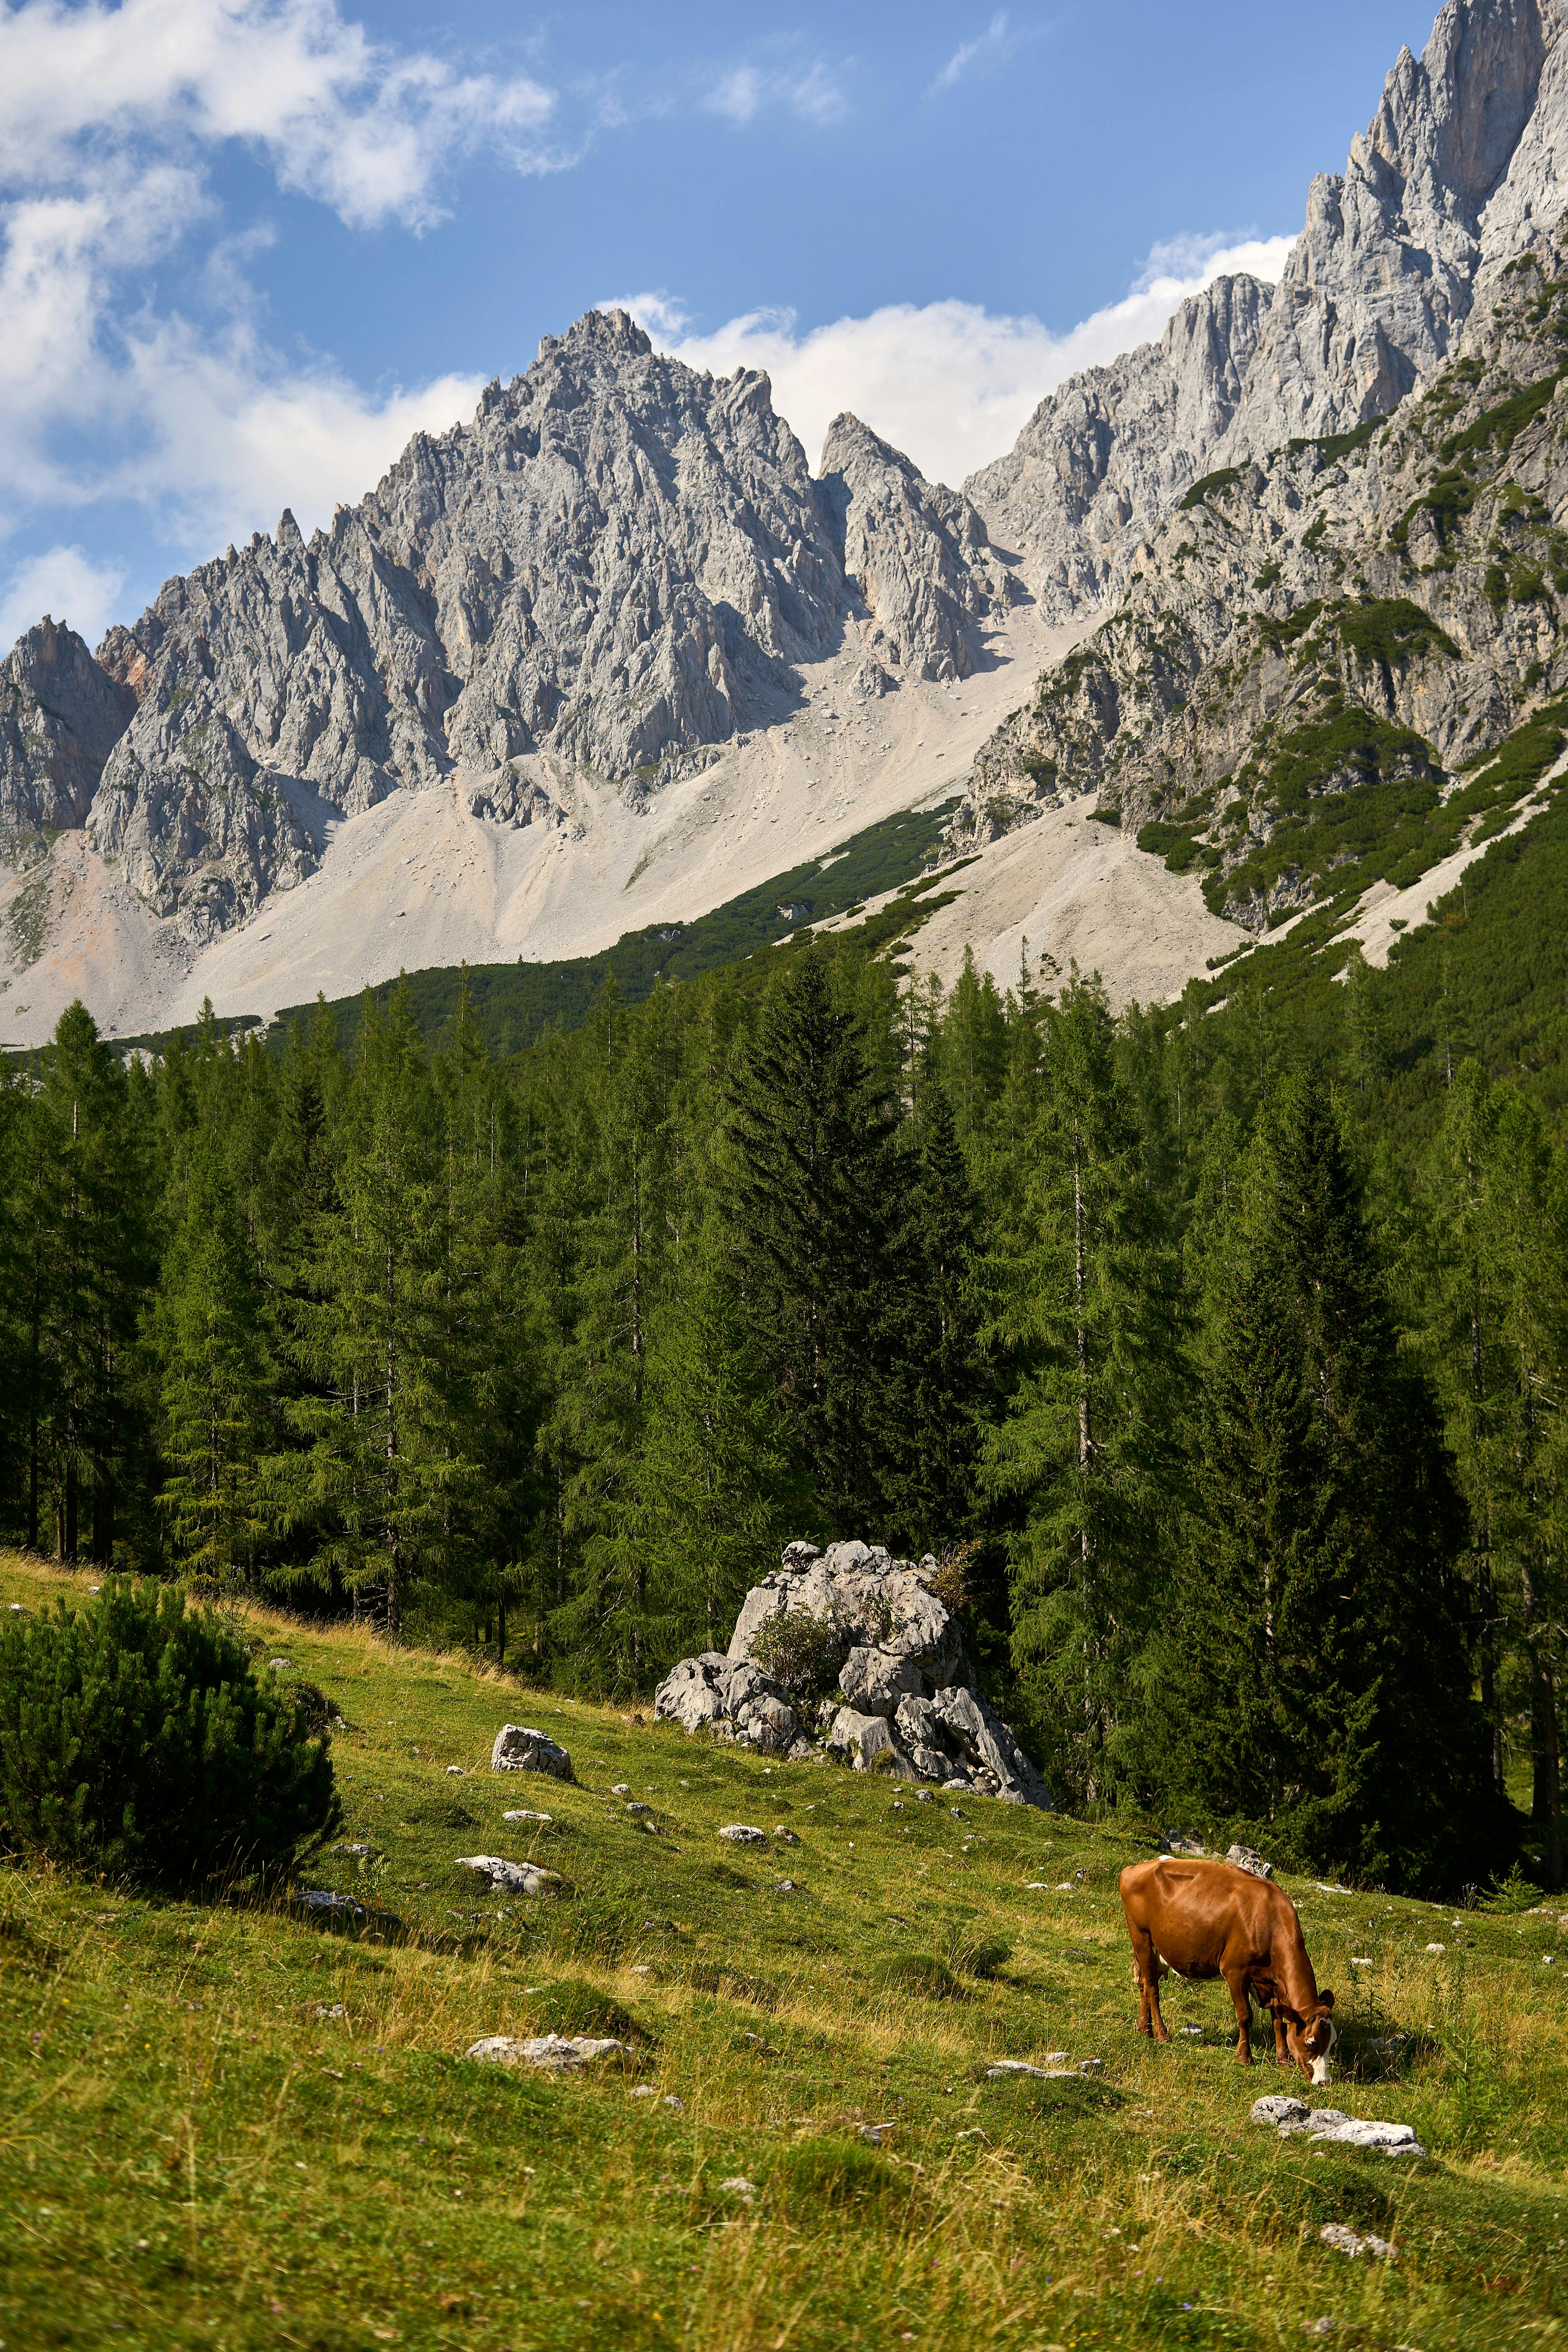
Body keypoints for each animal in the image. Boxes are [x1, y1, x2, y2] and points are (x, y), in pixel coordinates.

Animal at [1119, 1854, 1337, 2082]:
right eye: (1311, 2042)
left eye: (1332, 2043)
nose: (1324, 2082)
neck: (1270, 1921)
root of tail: (1137, 1866)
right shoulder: (1235, 1971)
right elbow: (1245, 2016)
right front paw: (1245, 2057)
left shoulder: (1271, 1984)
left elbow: (1279, 2021)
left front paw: (1283, 2059)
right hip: (1142, 1936)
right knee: (1152, 1988)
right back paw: (1162, 2035)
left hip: (1154, 1950)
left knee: (1144, 1984)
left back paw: (1145, 2029)